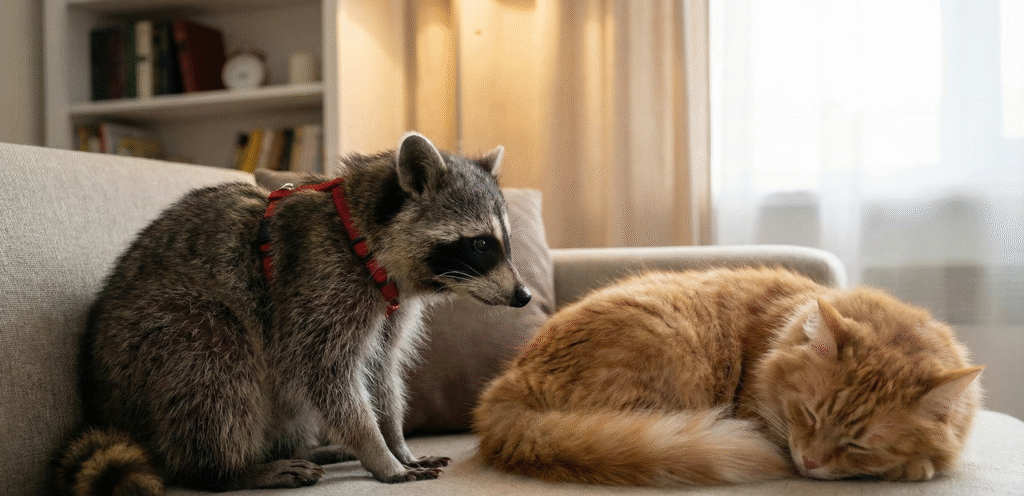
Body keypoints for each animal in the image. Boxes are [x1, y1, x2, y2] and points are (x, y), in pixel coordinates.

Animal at [55, 132, 532, 494]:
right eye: (481, 245)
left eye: (504, 243)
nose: (524, 295)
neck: (361, 235)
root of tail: (107, 408)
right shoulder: (319, 284)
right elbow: (325, 372)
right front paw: (378, 451)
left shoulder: (387, 308)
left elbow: (381, 371)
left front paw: (396, 442)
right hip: (155, 341)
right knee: (216, 359)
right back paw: (226, 469)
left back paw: (299, 447)